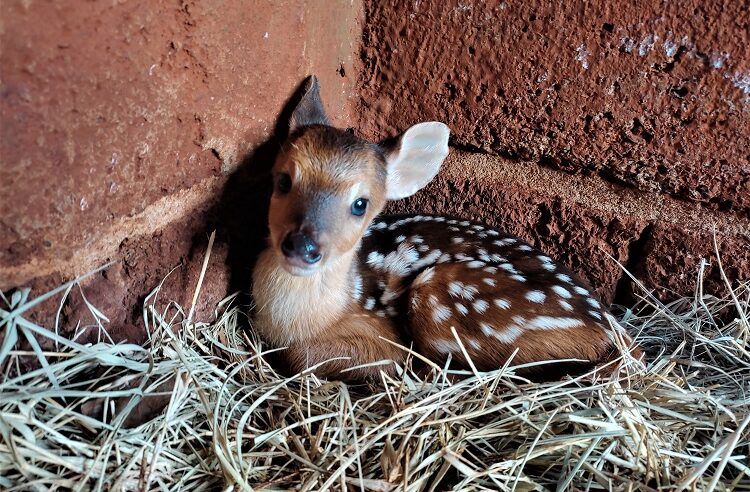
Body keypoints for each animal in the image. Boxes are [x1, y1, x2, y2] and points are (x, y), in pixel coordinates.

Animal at [253, 77, 640, 382]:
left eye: (360, 204)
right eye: (283, 181)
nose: (303, 247)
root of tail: (610, 329)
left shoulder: (384, 340)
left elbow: (302, 356)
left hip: (444, 294)